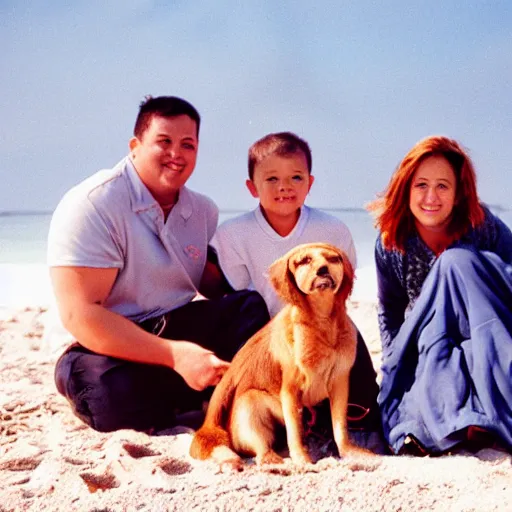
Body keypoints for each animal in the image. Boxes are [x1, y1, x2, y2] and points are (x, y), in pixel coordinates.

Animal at [188, 242, 364, 466]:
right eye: (304, 261)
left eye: (334, 259)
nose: (323, 269)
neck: (322, 321)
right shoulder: (291, 390)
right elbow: (295, 431)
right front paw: (302, 459)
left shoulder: (340, 383)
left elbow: (340, 427)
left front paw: (352, 452)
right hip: (251, 403)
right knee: (261, 449)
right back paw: (273, 461)